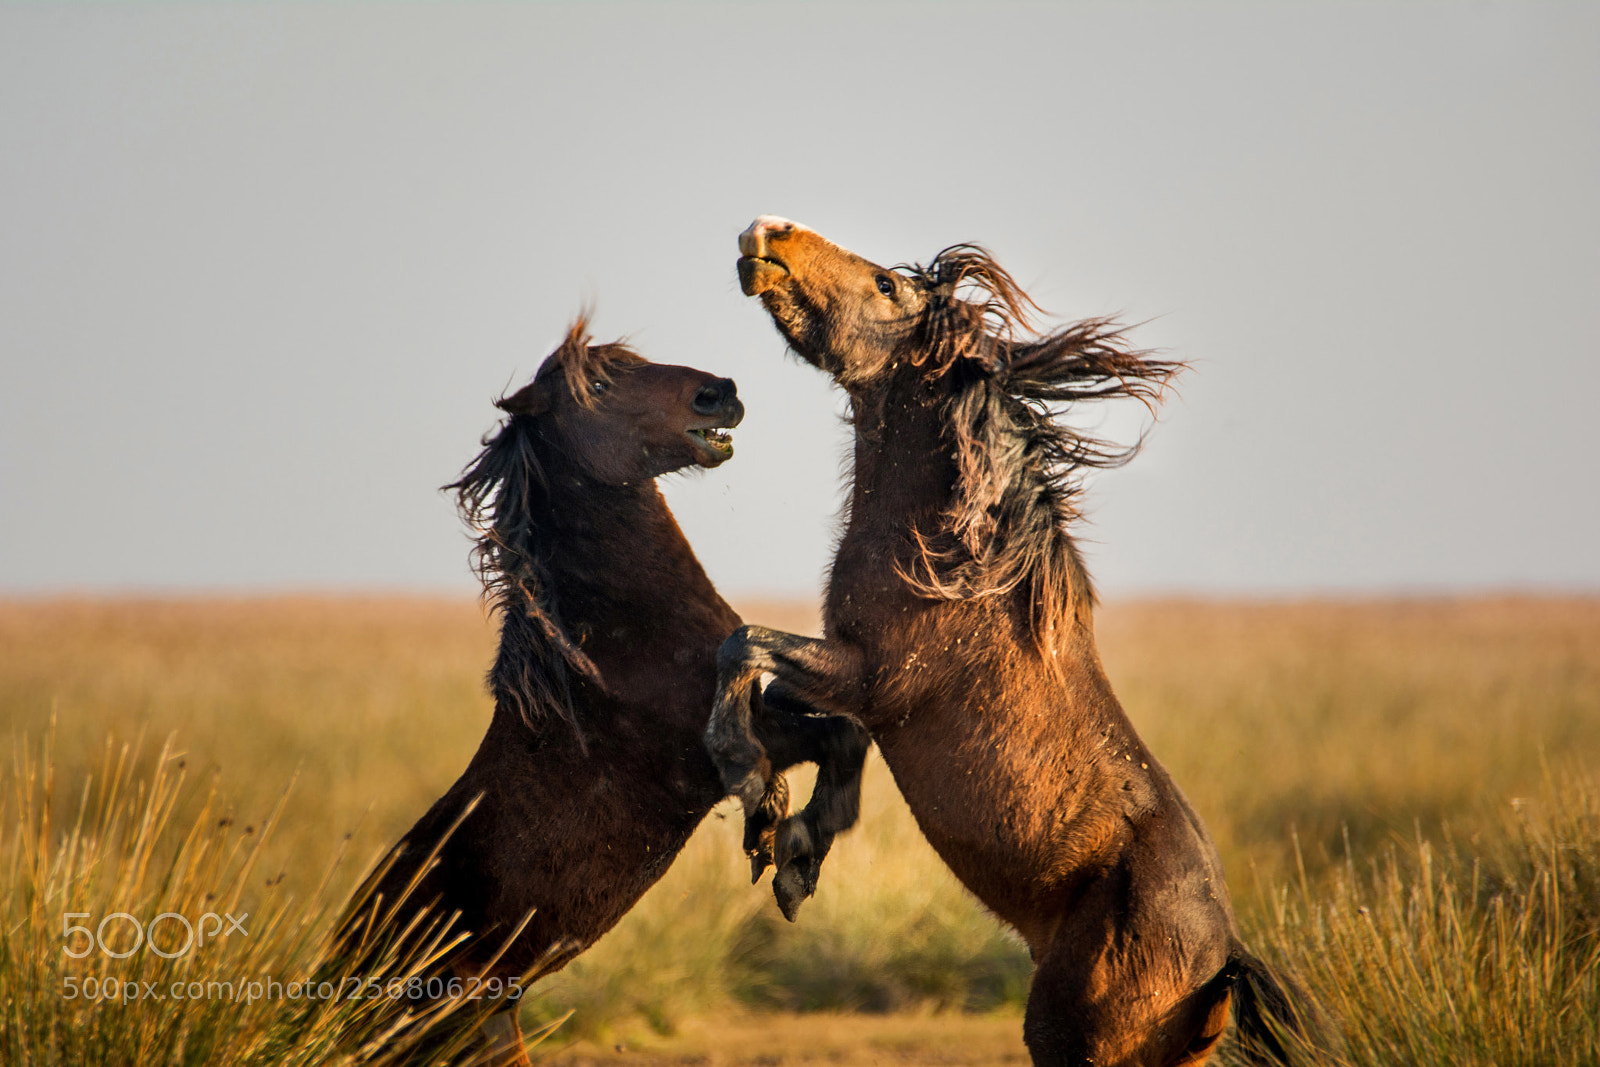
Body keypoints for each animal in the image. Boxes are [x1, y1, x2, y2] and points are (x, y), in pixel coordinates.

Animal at [344, 318, 869, 1065]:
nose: (721, 392)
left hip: (492, 1026)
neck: (617, 642)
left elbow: (830, 732)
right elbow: (837, 737)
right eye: (596, 383)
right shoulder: (720, 748)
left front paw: (773, 835)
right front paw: (790, 859)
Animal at [705, 218, 1314, 1067]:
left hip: (1067, 1037)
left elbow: (744, 649)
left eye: (885, 286)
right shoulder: (853, 683)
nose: (769, 232)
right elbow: (813, 721)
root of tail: (1223, 959)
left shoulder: (871, 675)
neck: (958, 560)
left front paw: (754, 793)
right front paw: (794, 844)